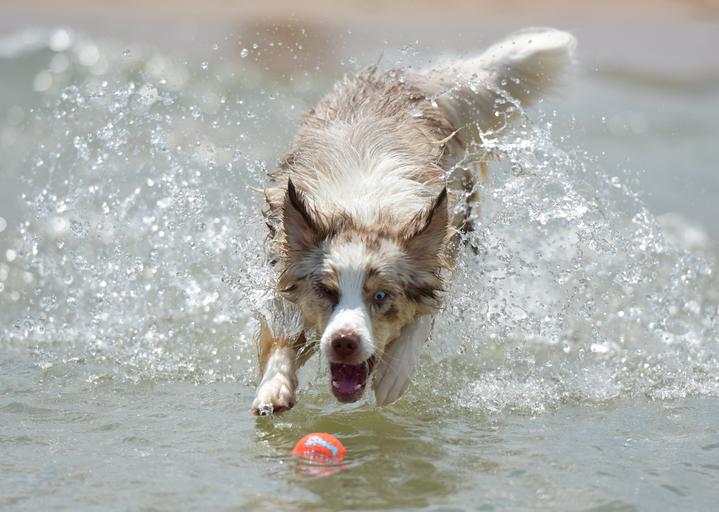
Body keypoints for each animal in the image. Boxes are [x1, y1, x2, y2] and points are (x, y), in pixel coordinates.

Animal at [251, 28, 576, 415]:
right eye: (327, 291)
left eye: (380, 295)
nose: (344, 341)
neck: (363, 213)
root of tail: (407, 80)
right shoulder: (283, 264)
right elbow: (280, 332)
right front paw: (273, 386)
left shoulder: (441, 251)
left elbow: (423, 315)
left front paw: (393, 376)